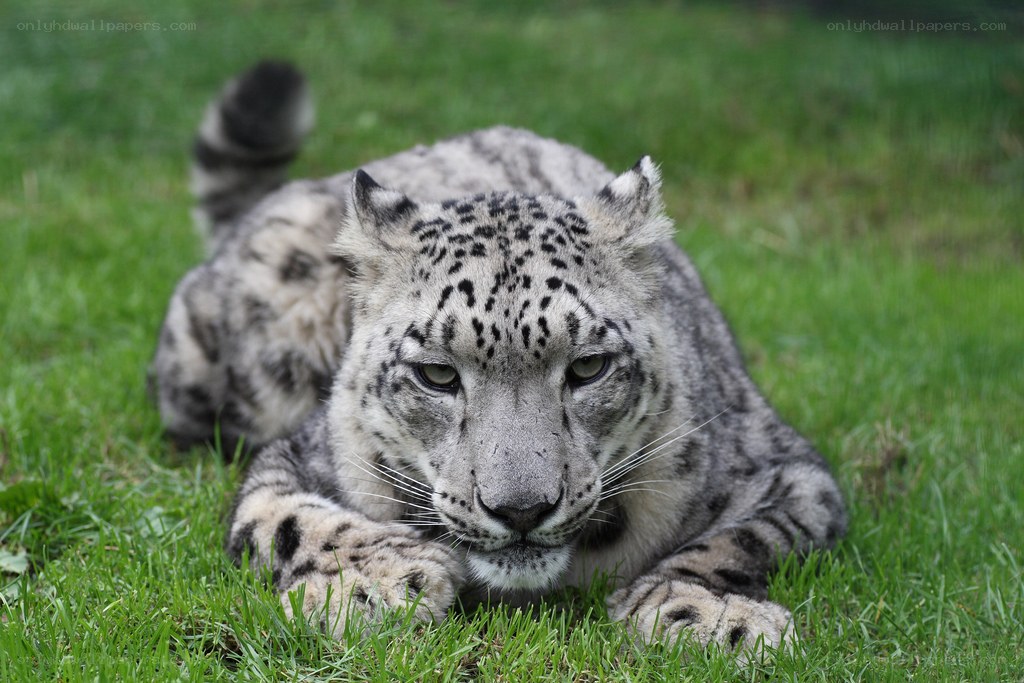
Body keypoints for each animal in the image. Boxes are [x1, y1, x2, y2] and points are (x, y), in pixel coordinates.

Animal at [150, 61, 847, 660]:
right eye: (436, 374)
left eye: (588, 367)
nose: (520, 510)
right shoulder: (302, 458)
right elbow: (287, 518)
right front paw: (381, 581)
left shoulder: (788, 472)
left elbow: (740, 538)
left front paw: (710, 614)